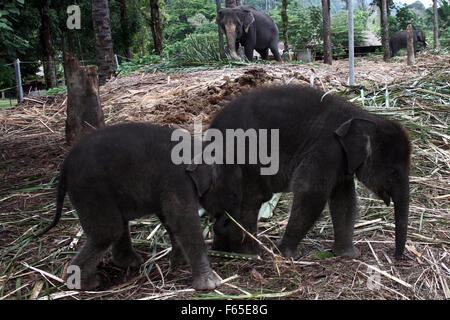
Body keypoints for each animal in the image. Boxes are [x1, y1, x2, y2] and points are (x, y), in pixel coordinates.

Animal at [37, 123, 221, 292]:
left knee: (118, 226)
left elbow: (169, 219)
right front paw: (209, 285)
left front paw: (179, 261)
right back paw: (87, 284)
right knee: (109, 231)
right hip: (90, 190)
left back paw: (130, 263)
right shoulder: (178, 181)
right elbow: (182, 221)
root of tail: (65, 167)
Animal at [200, 85, 412, 260]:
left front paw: (347, 255)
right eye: (393, 172)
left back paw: (223, 252)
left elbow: (344, 200)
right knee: (252, 199)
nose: (395, 257)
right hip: (242, 159)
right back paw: (251, 254)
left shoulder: (341, 162)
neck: (363, 115)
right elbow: (311, 192)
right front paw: (287, 254)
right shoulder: (326, 149)